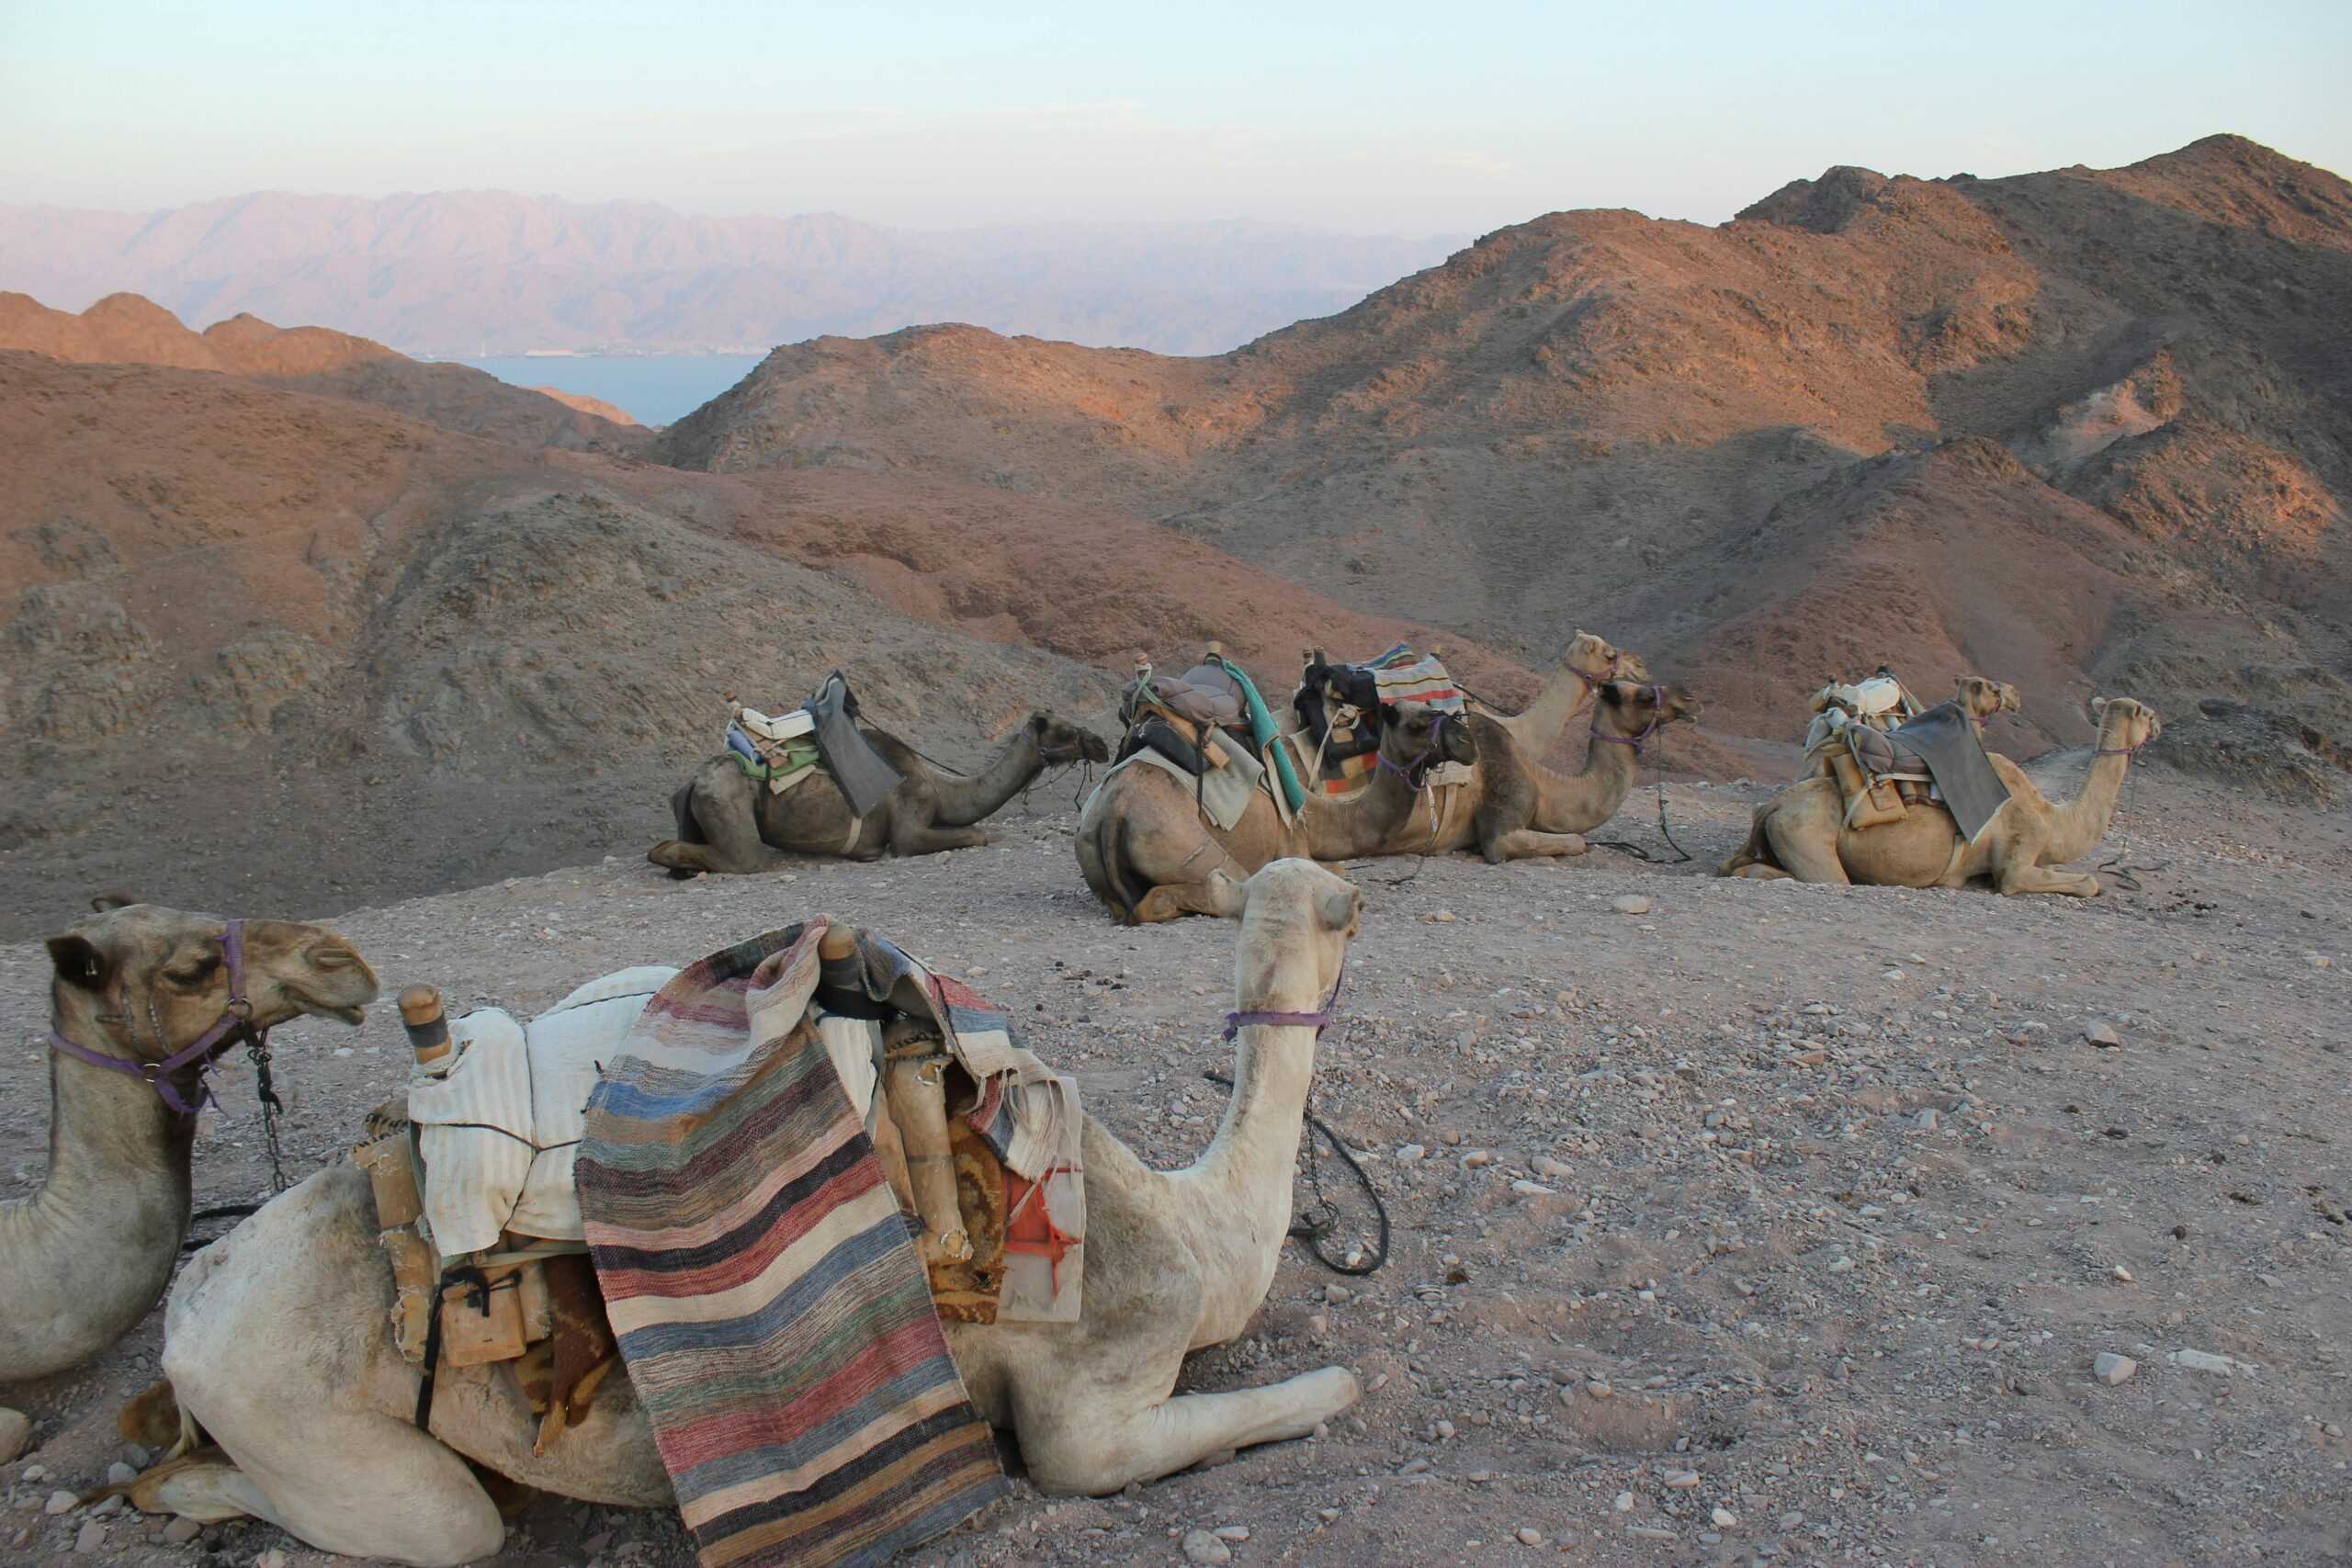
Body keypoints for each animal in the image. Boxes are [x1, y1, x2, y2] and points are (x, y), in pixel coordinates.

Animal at [137, 860, 1374, 1568]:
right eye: (1347, 909)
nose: (1366, 900)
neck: (1188, 1225)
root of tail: (193, 1296)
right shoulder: (1089, 1401)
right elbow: (1318, 1391)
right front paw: (1327, 1388)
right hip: (295, 1409)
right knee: (433, 1525)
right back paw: (171, 1490)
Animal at [653, 709, 1110, 879]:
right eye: (1063, 730)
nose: (1102, 743)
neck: (942, 788)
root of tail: (694, 781)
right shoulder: (910, 822)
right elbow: (978, 834)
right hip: (728, 803)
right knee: (739, 858)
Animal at [1077, 700, 1476, 921]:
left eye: (1441, 711)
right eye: (1417, 725)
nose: (1468, 742)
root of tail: (1115, 810)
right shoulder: (1292, 840)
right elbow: (1341, 872)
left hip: (1093, 857)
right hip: (1180, 840)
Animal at [1721, 695, 2154, 902]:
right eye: (2147, 714)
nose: (2160, 724)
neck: (2051, 817)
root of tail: (1775, 804)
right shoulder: (2017, 858)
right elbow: (2086, 882)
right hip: (1809, 842)